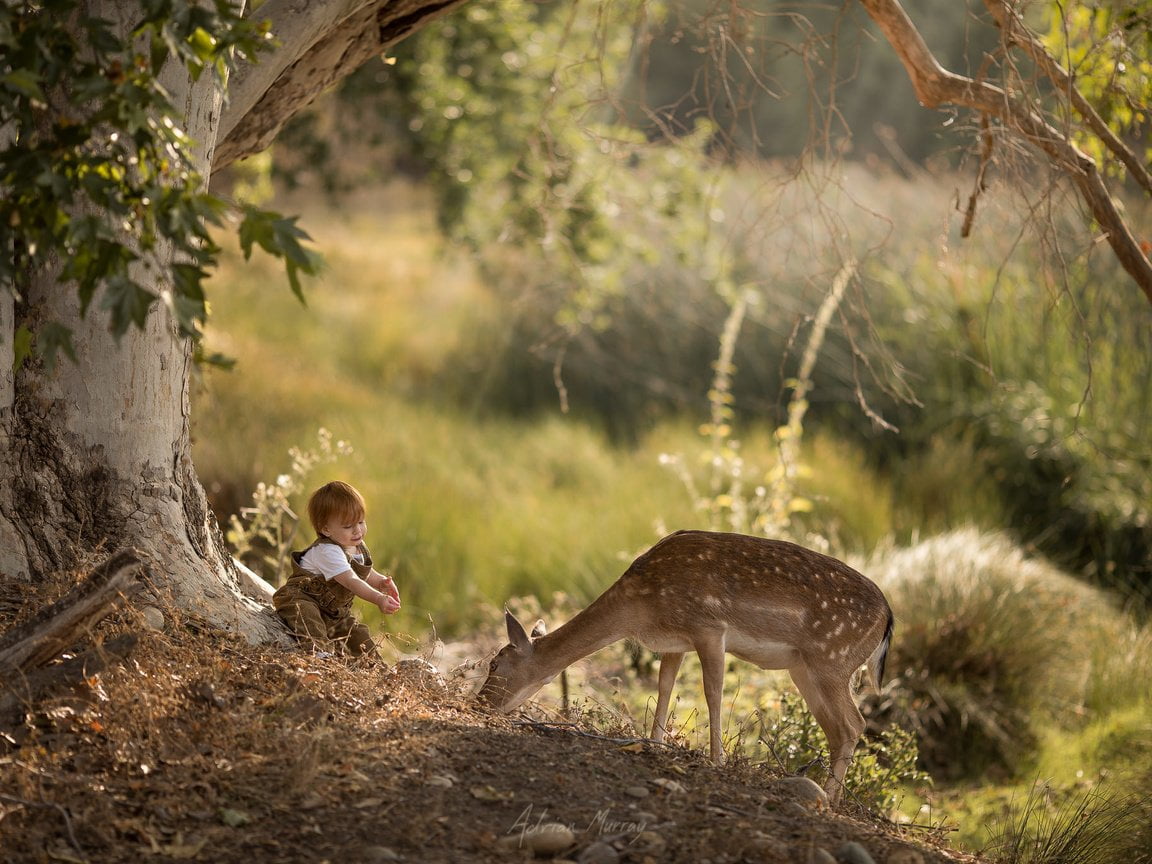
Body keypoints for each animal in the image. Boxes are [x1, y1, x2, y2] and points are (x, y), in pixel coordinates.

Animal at [474, 527, 889, 806]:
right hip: (804, 668)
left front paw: (716, 760)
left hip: (832, 659)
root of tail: (888, 617)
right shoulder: (675, 644)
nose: (479, 702)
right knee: (838, 728)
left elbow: (712, 692)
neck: (640, 608)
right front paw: (654, 743)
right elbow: (665, 687)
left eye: (494, 664)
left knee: (855, 723)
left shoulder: (709, 627)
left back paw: (830, 801)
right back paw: (828, 794)